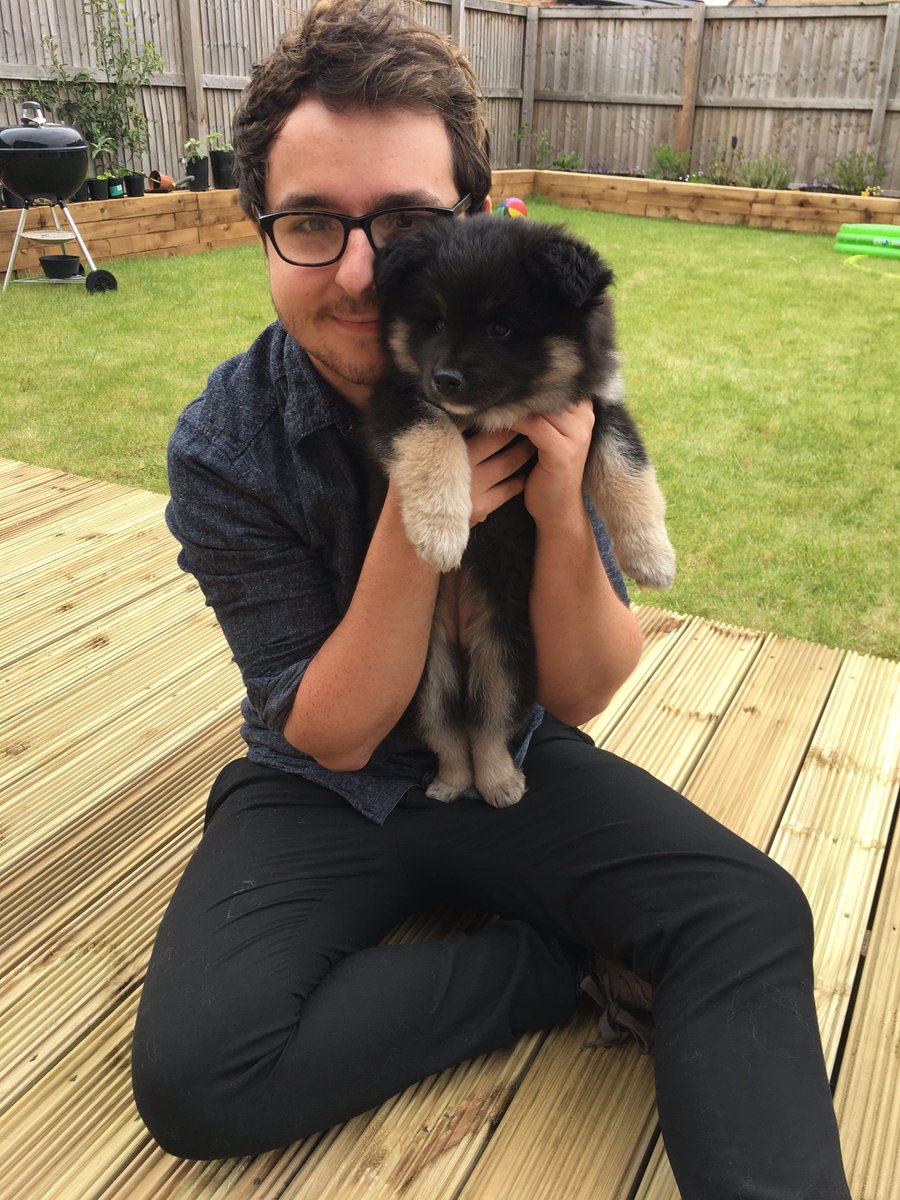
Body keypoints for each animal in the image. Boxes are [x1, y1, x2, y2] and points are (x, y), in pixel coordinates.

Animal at [364, 214, 675, 808]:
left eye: (502, 328)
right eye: (434, 322)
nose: (446, 379)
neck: (502, 413)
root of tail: (463, 637)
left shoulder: (600, 406)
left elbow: (627, 466)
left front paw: (653, 557)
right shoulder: (398, 398)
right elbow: (433, 436)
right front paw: (441, 531)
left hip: (504, 657)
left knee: (488, 725)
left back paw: (498, 781)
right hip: (423, 675)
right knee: (447, 732)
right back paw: (455, 782)